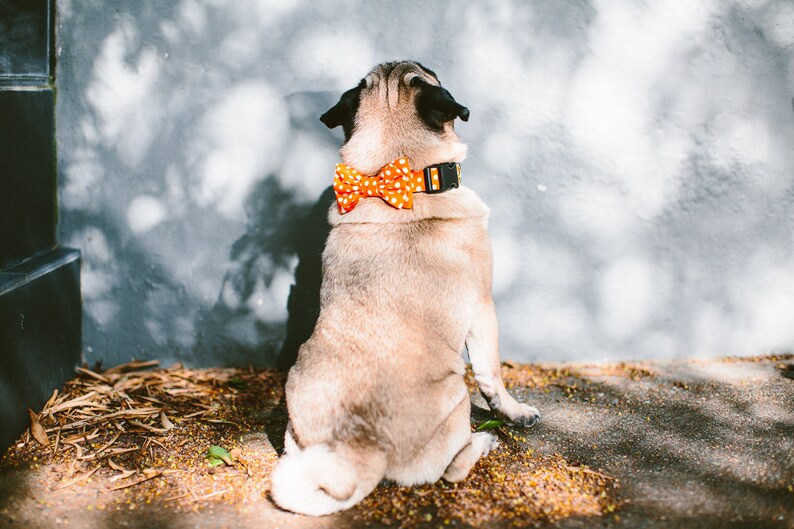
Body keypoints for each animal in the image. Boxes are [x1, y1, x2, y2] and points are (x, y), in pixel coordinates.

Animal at [268, 59, 540, 512]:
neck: (401, 176)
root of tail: (366, 447)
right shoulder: (484, 308)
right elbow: (492, 375)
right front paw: (515, 412)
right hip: (456, 390)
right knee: (452, 467)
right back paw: (483, 441)